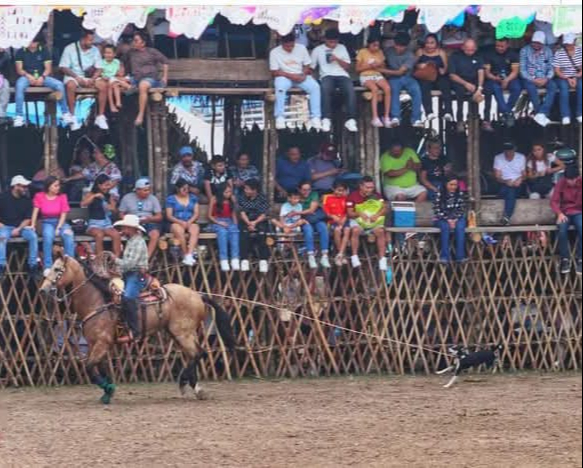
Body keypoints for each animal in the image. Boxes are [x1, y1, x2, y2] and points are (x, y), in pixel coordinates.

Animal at [38, 254, 236, 404]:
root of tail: (198, 295)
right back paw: (195, 388)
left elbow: (89, 368)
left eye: (57, 269)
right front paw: (108, 391)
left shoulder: (102, 343)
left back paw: (185, 383)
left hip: (183, 333)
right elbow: (100, 368)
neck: (98, 301)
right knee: (194, 354)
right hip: (179, 334)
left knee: (198, 353)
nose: (42, 290)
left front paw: (108, 390)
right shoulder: (97, 344)